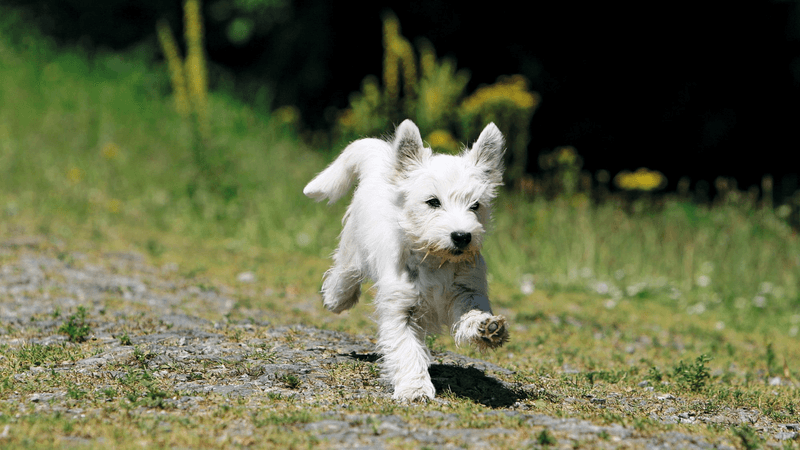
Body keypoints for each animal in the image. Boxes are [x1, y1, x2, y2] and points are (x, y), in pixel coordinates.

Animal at [304, 119, 510, 400]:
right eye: (433, 202)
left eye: (475, 205)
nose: (462, 236)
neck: (435, 259)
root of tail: (382, 159)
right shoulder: (399, 309)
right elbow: (406, 349)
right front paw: (415, 387)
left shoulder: (466, 290)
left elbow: (470, 311)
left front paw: (486, 327)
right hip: (354, 245)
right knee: (345, 270)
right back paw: (337, 297)